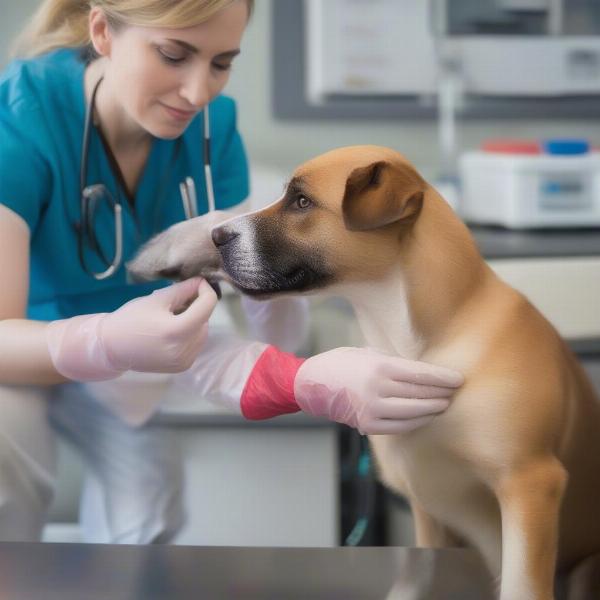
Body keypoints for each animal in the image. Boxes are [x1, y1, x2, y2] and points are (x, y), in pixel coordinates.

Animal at [129, 146, 600, 600]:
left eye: (302, 201)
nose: (214, 236)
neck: (426, 345)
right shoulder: (428, 505)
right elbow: (420, 568)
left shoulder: (531, 484)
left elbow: (523, 584)